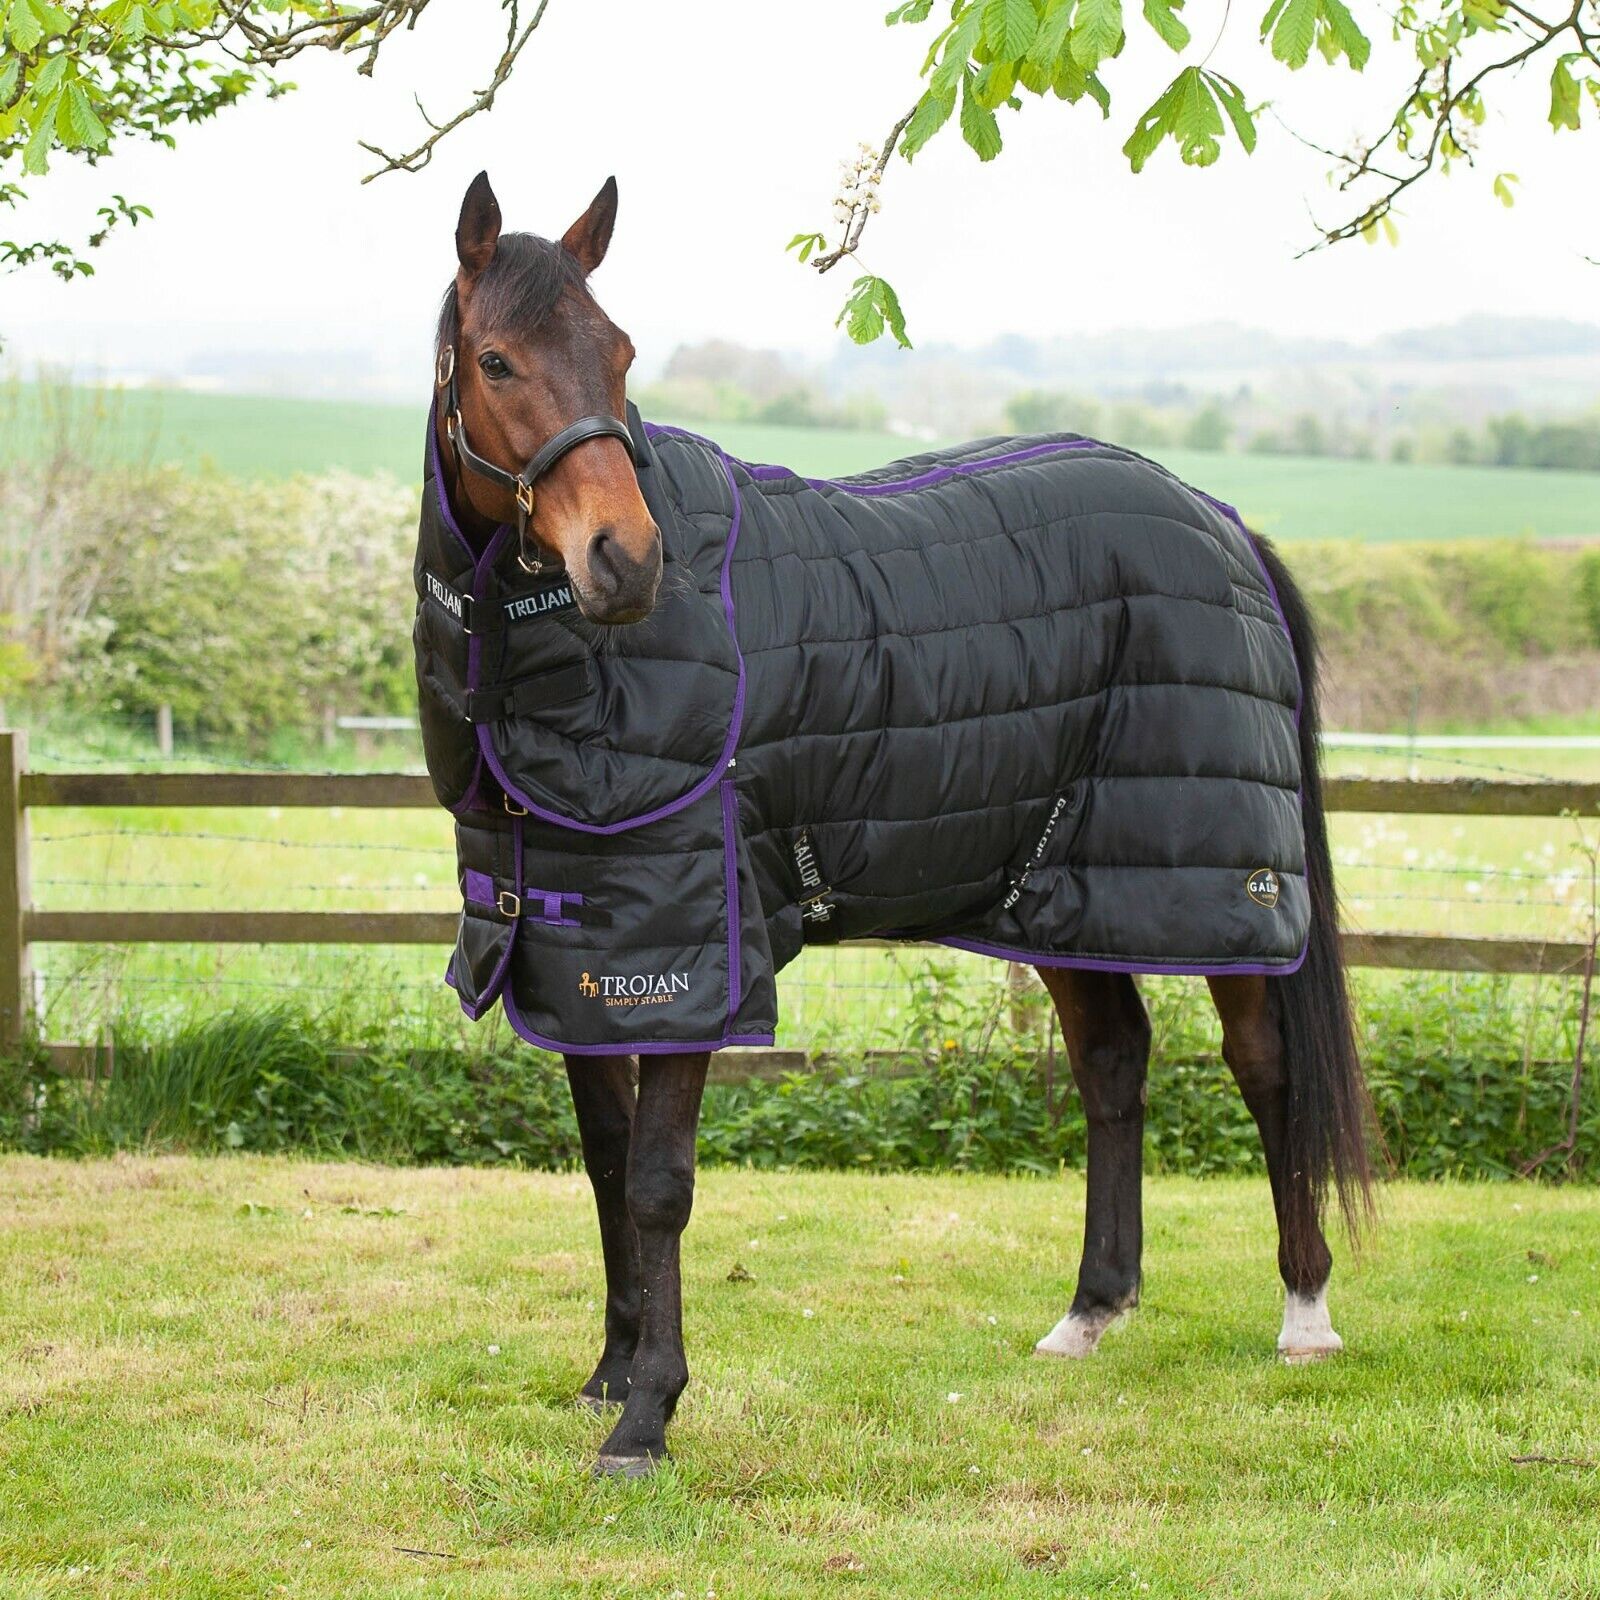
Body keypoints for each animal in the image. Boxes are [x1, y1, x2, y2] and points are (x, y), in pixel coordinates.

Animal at [416, 170, 1374, 1478]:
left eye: (617, 353)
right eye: (499, 361)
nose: (626, 561)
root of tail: (1220, 520)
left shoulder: (693, 953)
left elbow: (659, 1181)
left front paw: (648, 1412)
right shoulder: (581, 948)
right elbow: (606, 1162)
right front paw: (607, 1370)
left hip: (1218, 882)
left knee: (1265, 1064)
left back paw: (1305, 1315)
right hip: (1059, 888)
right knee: (1111, 1061)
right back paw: (1088, 1311)